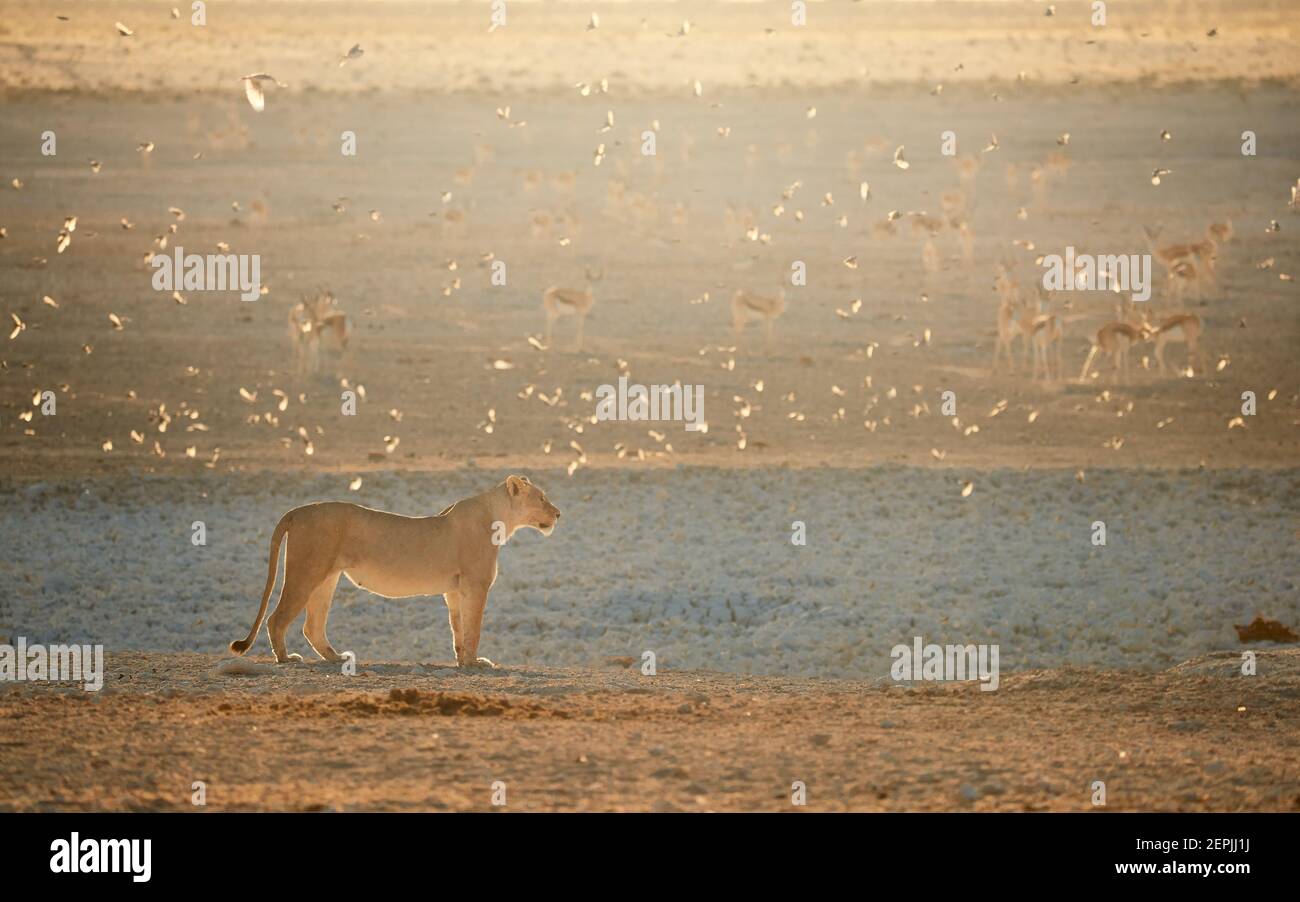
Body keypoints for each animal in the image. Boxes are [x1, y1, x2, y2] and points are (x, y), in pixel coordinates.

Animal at [228, 475, 560, 667]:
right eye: (542, 498)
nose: (558, 513)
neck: (500, 517)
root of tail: (296, 511)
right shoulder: (476, 585)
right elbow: (474, 628)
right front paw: (476, 663)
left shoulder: (454, 590)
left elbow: (459, 628)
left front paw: (463, 661)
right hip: (306, 571)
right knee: (277, 618)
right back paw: (286, 658)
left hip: (326, 578)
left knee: (312, 626)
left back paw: (336, 658)